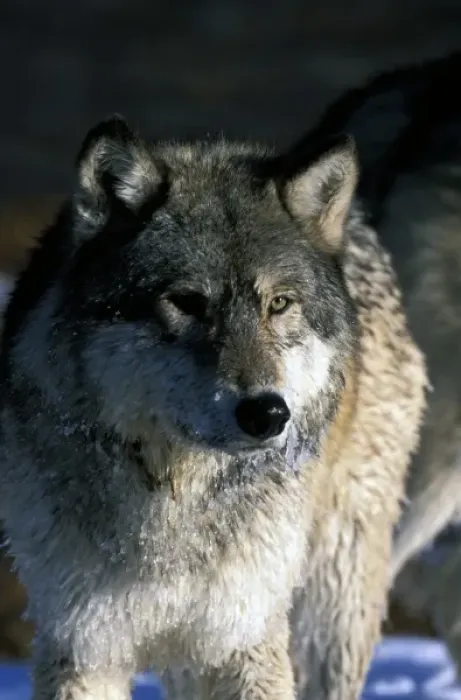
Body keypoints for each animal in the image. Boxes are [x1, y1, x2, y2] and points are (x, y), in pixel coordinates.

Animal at [0, 116, 426, 700]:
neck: (173, 499)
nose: (267, 414)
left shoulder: (240, 640)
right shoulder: (83, 645)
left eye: (279, 304)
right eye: (187, 302)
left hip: (335, 596)